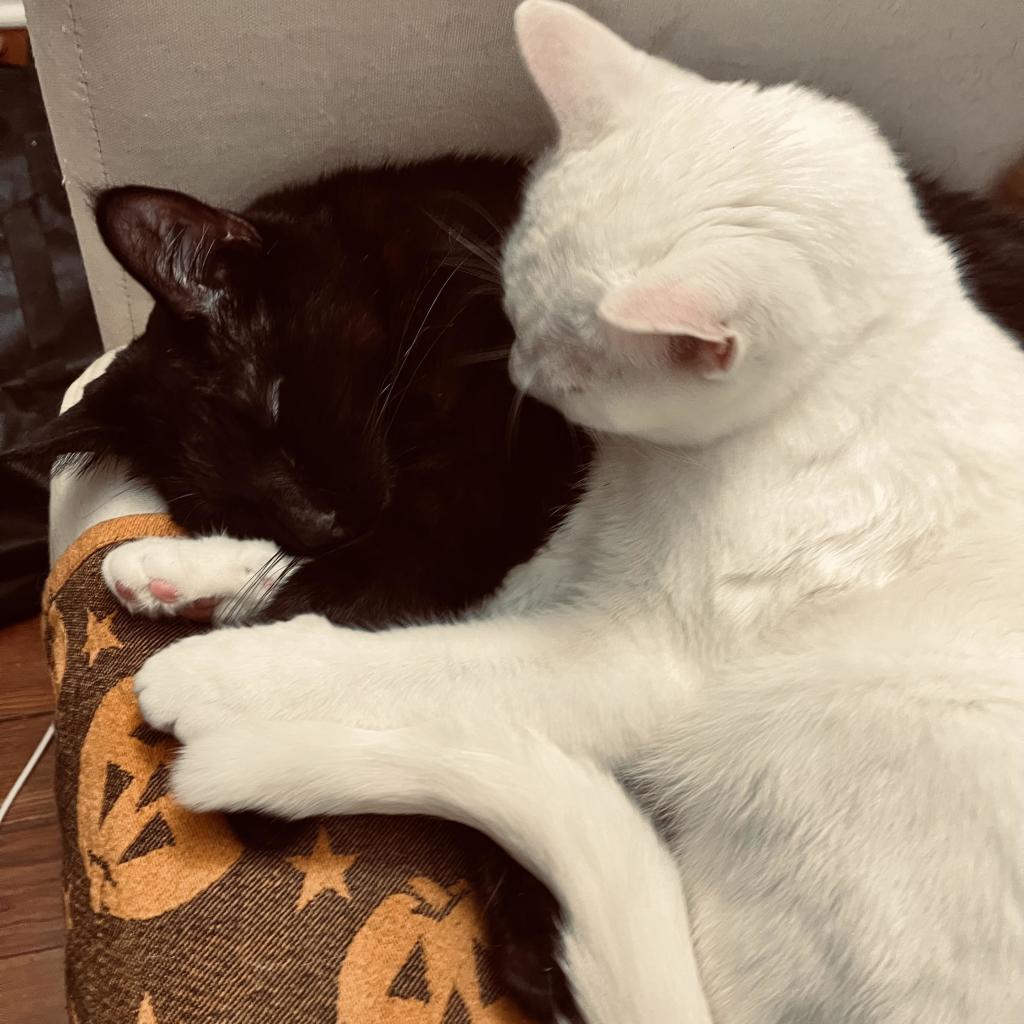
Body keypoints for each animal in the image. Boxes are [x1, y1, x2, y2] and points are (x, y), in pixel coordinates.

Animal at [125, 4, 1024, 1019]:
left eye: (278, 409)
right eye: (218, 492)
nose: (520, 373)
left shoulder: (620, 636)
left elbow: (419, 655)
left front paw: (224, 673)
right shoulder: (565, 538)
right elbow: (411, 603)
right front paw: (189, 573)